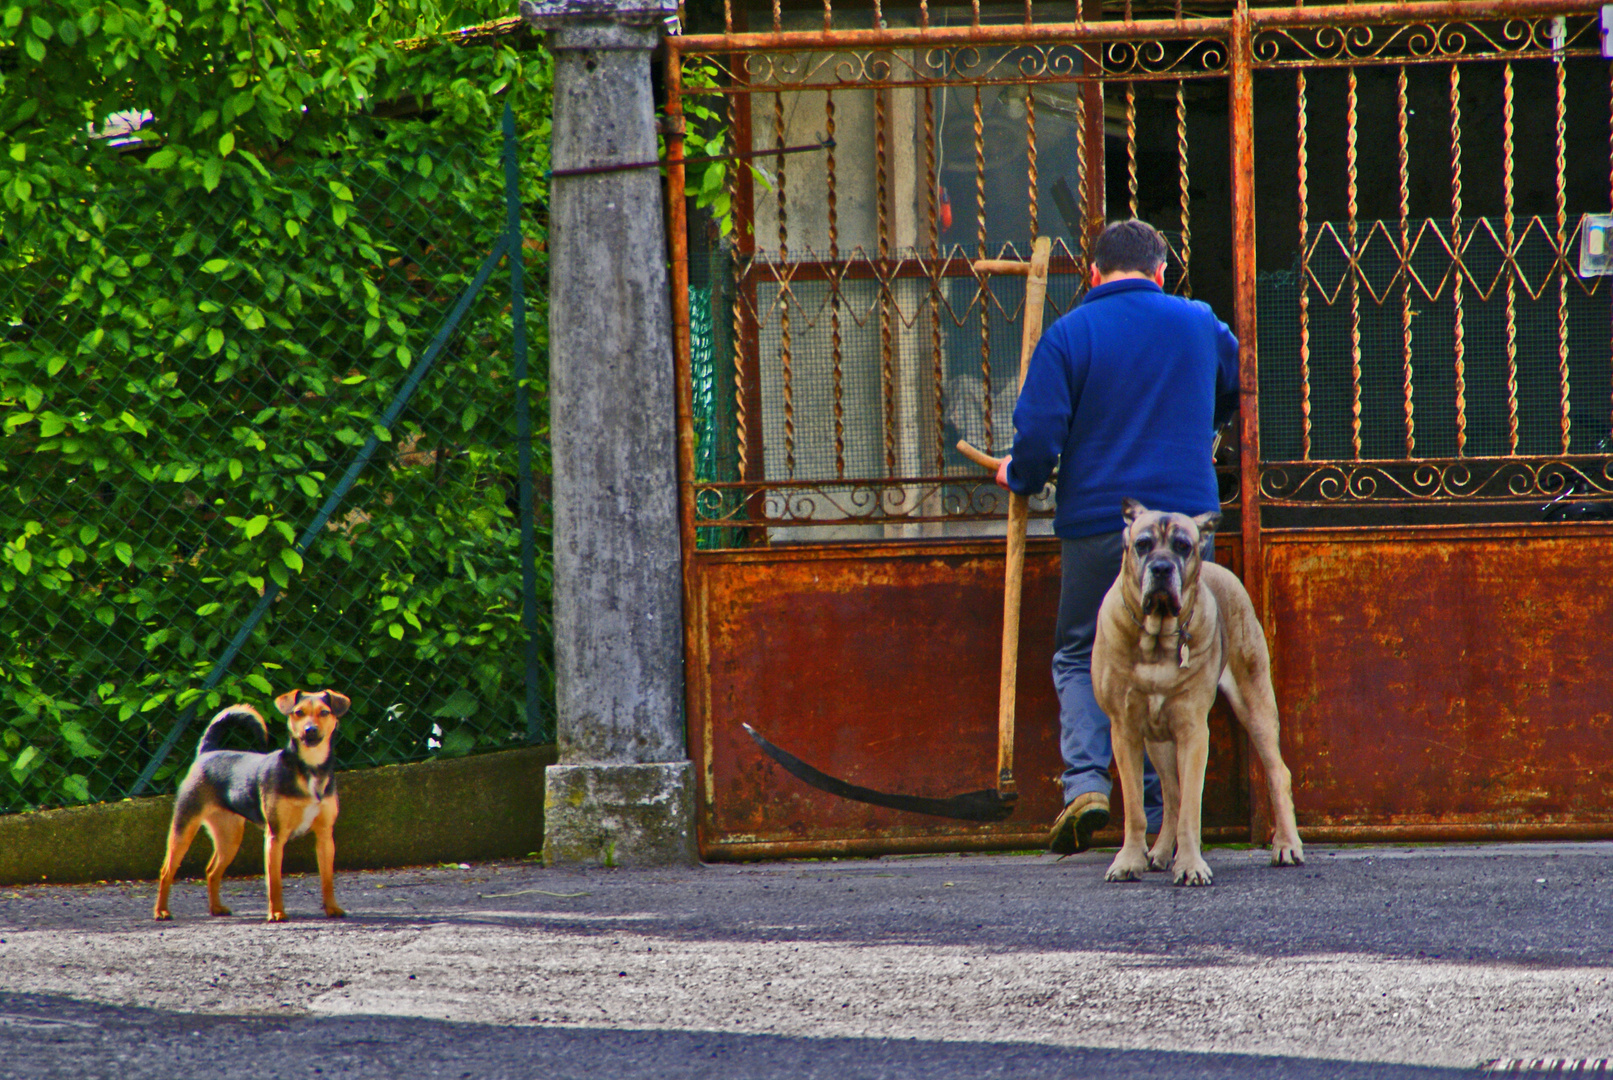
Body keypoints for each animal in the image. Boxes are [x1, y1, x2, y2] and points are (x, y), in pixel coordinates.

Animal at [154, 693, 350, 922]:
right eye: (299, 712)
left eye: (324, 712)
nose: (310, 730)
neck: (309, 768)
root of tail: (207, 753)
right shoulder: (275, 837)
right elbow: (274, 882)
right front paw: (276, 913)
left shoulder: (325, 836)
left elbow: (327, 879)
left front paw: (332, 908)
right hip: (184, 829)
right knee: (166, 871)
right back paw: (161, 911)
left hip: (230, 837)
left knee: (212, 871)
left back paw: (216, 908)